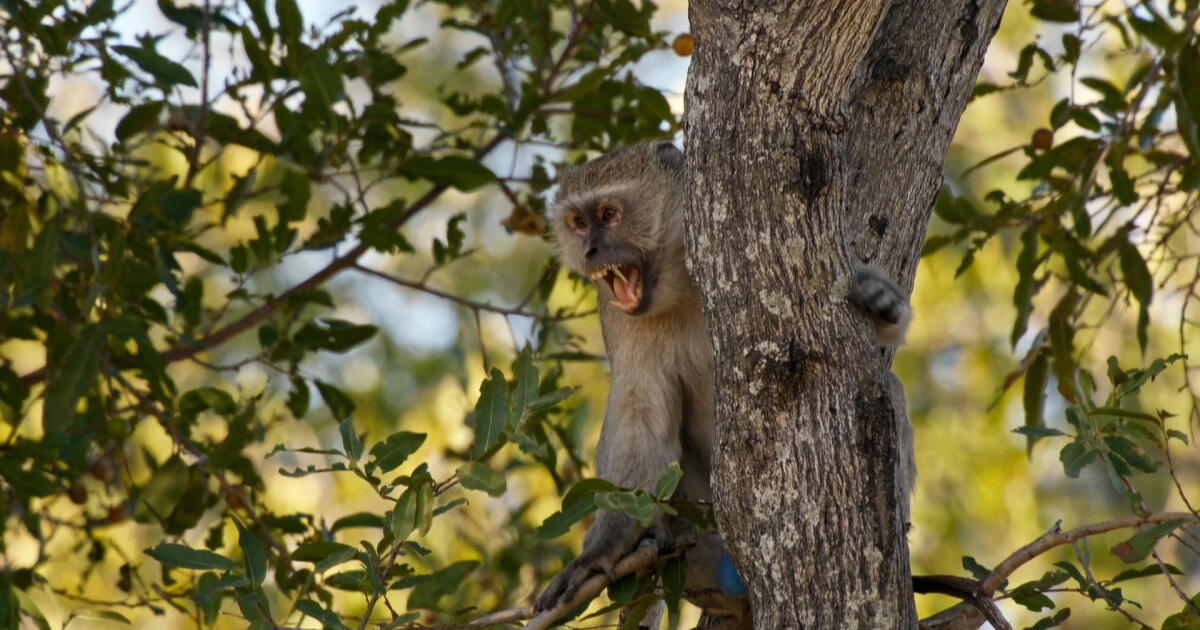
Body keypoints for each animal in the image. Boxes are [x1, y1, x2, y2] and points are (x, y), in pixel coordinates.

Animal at [535, 142, 914, 629]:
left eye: (609, 214)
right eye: (579, 223)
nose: (591, 250)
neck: (679, 276)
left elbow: (878, 341)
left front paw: (881, 302)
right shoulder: (619, 316)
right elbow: (641, 421)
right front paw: (603, 549)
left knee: (888, 388)